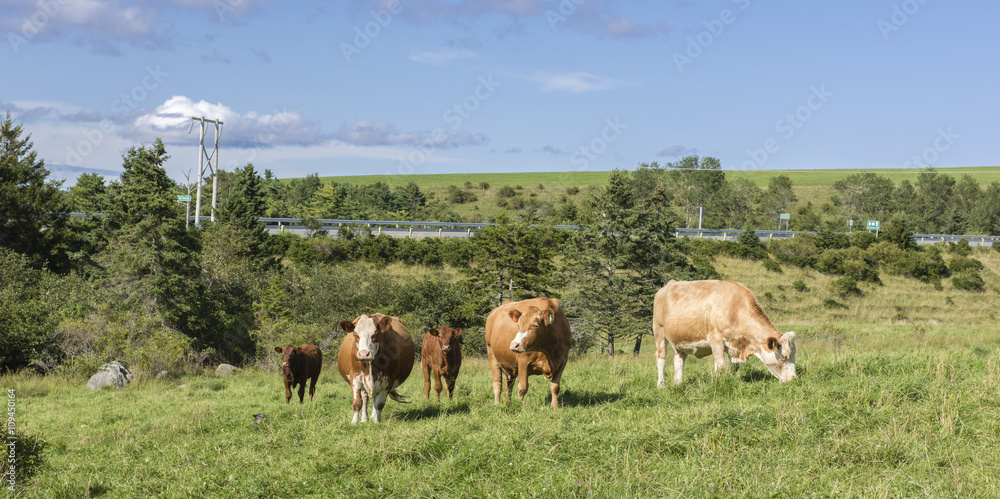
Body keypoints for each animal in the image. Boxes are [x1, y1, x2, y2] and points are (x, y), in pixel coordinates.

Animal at [652, 280, 797, 386]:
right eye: (784, 356)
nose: (794, 379)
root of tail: (669, 284)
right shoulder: (715, 338)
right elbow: (720, 364)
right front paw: (718, 384)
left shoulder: (734, 345)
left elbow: (734, 366)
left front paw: (731, 380)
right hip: (659, 331)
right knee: (661, 359)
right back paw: (661, 385)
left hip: (681, 339)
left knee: (679, 360)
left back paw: (678, 384)